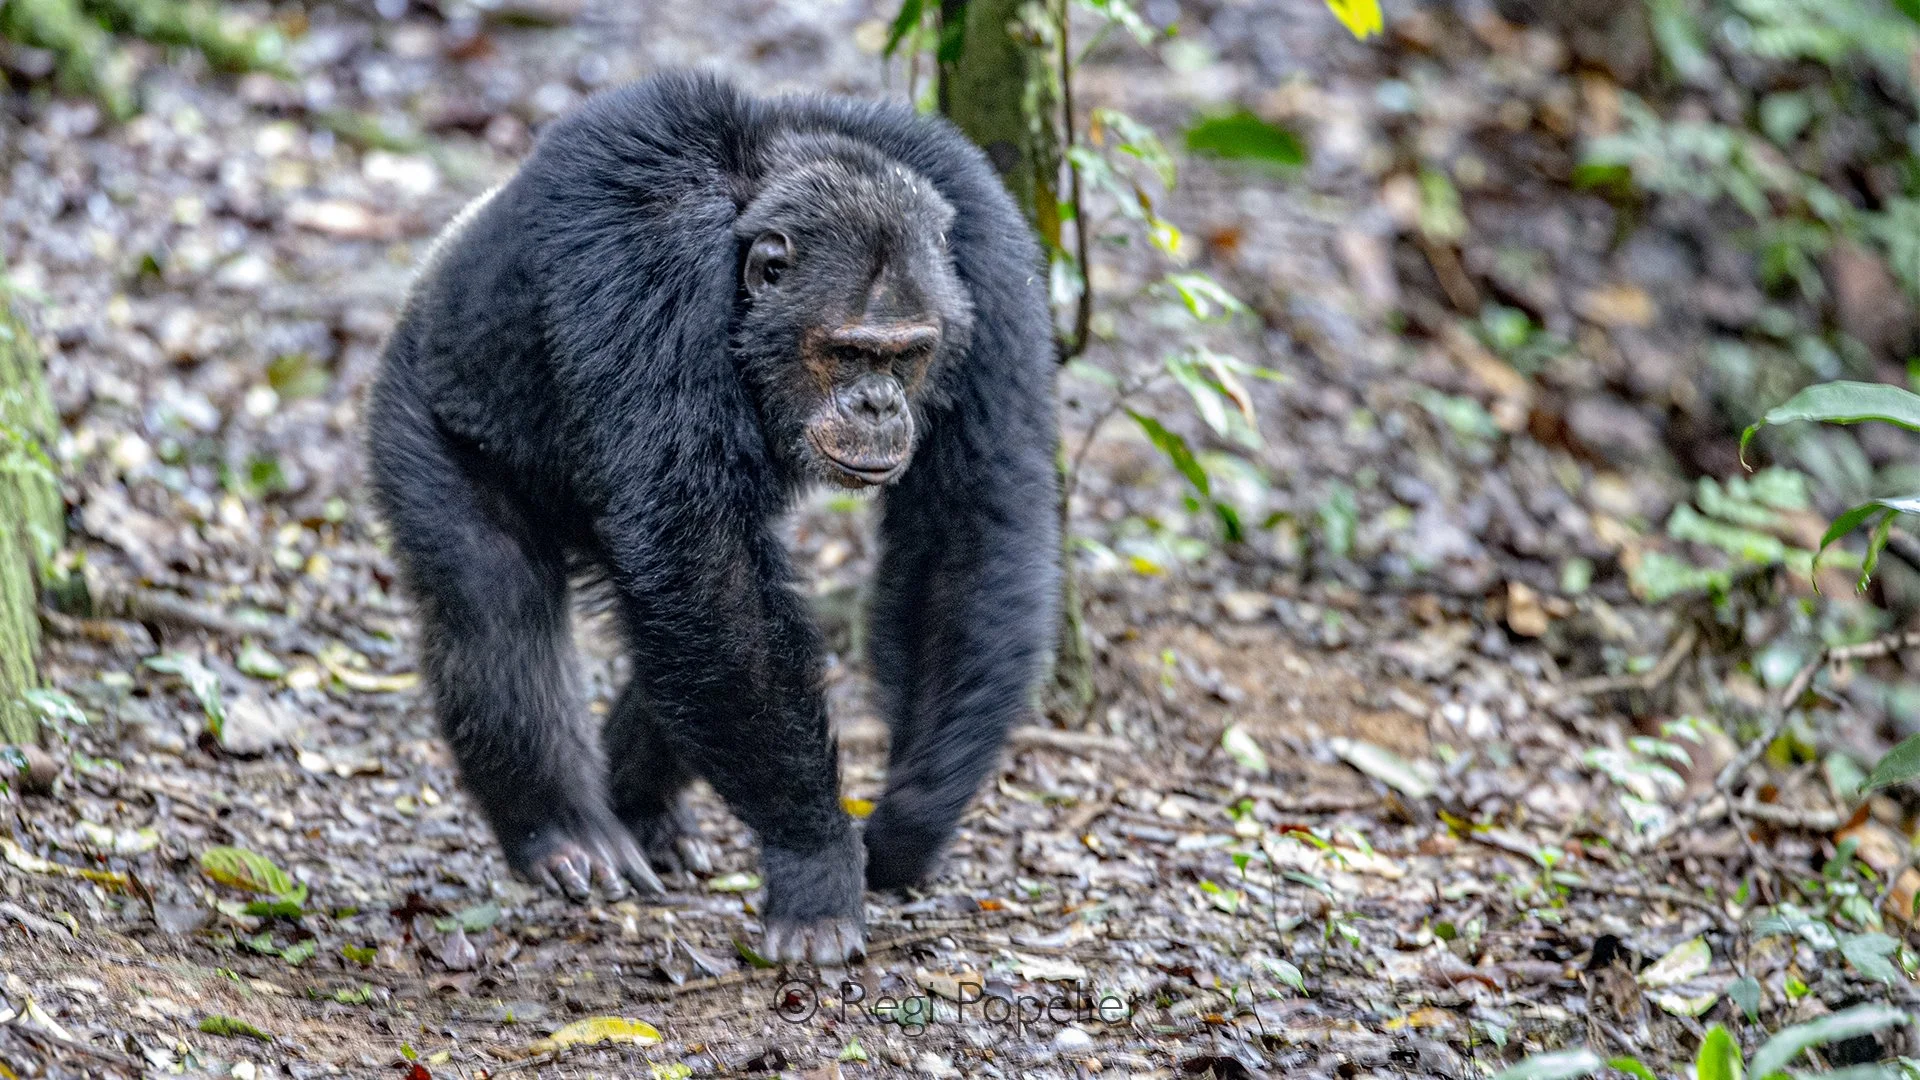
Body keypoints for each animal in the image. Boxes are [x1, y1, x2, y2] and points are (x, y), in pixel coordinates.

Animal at [365, 72, 1060, 964]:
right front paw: (815, 861)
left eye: (906, 353)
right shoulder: (648, 261)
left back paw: (642, 810)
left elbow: (968, 521)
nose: (877, 404)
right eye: (847, 351)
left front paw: (908, 820)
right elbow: (700, 560)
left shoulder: (987, 254)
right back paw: (565, 834)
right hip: (419, 411)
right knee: (495, 605)